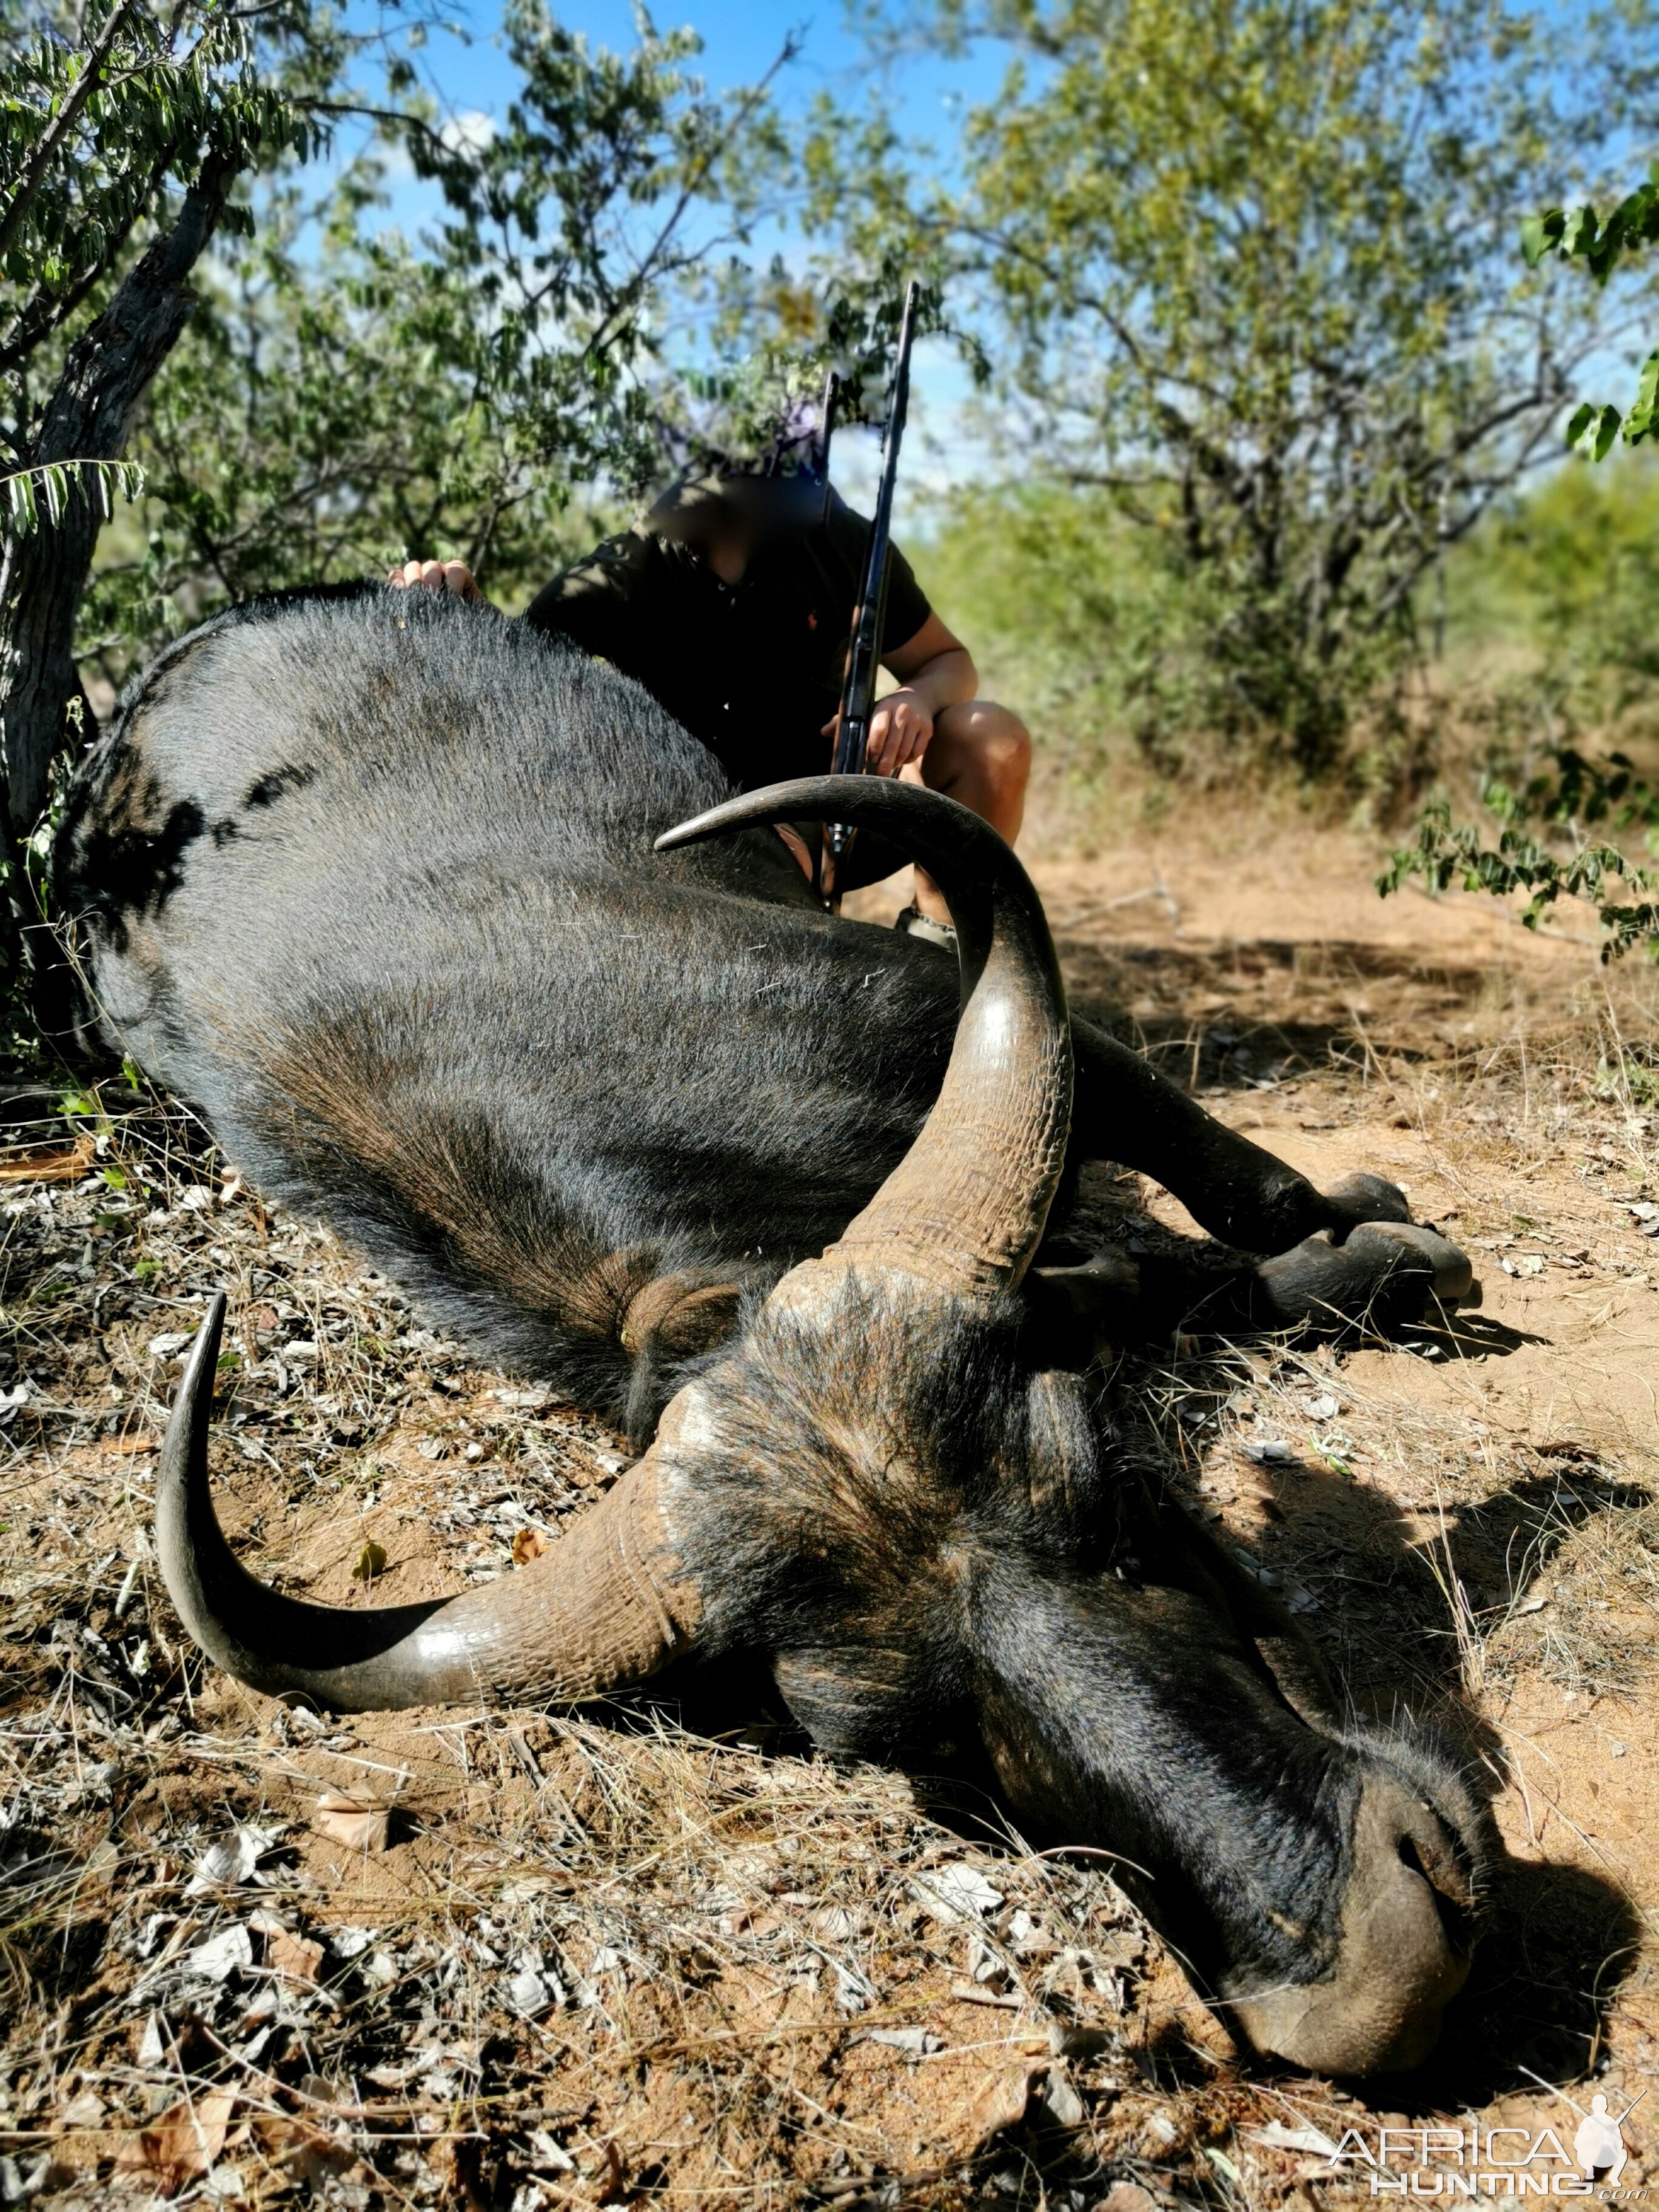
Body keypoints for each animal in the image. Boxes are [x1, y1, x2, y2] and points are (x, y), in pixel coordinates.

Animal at [52, 584, 1486, 2070]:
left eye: (1120, 1503)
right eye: (917, 1750)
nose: (1379, 1975)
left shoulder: (950, 1008)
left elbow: (1244, 1196)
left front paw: (1379, 1237)